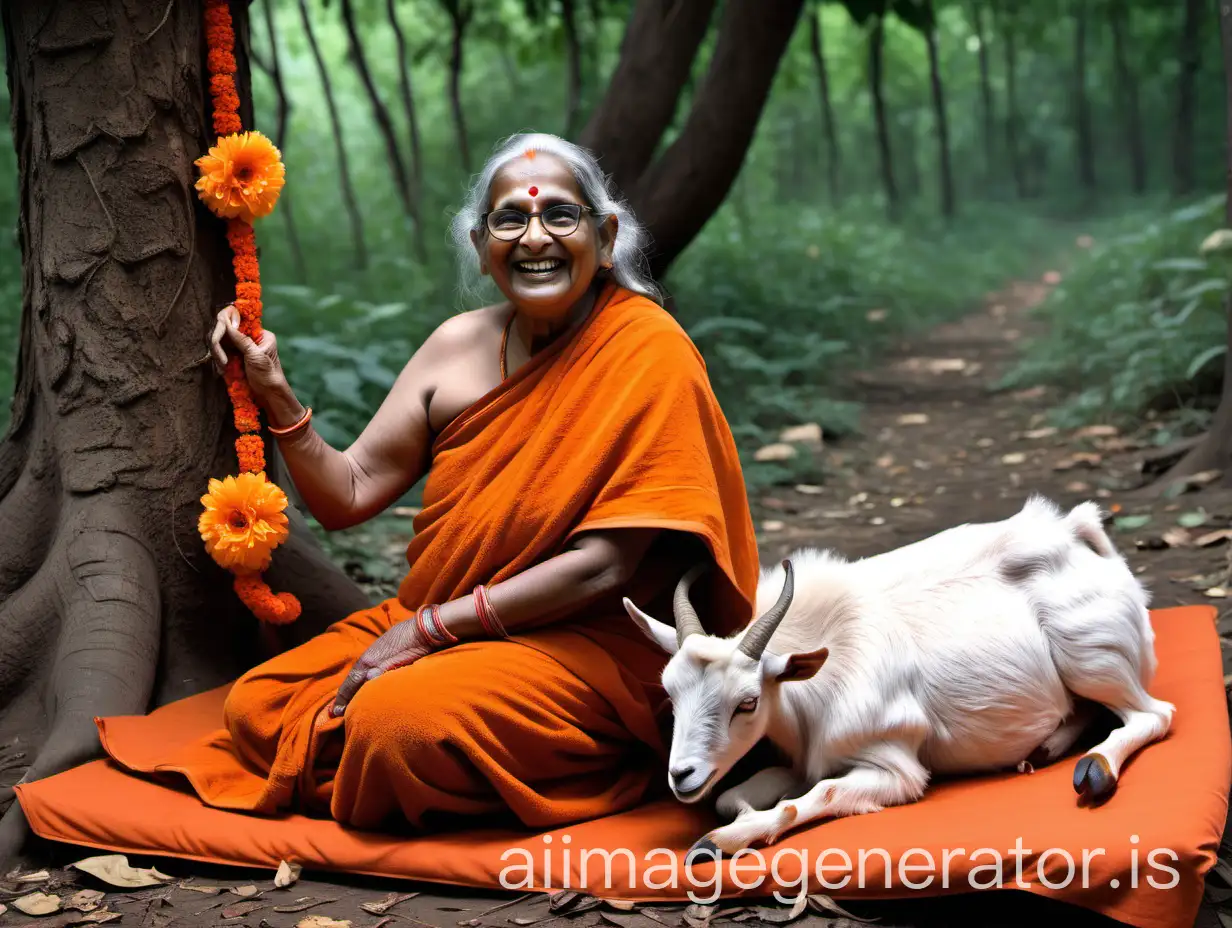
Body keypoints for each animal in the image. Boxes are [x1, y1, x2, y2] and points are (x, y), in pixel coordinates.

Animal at [625, 492, 1172, 852]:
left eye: (747, 701)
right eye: (671, 694)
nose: (682, 775)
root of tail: (1078, 535)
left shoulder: (896, 767)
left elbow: (820, 792)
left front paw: (722, 839)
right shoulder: (805, 756)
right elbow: (735, 794)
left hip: (1093, 661)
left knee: (1152, 714)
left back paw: (1093, 768)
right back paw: (1046, 747)